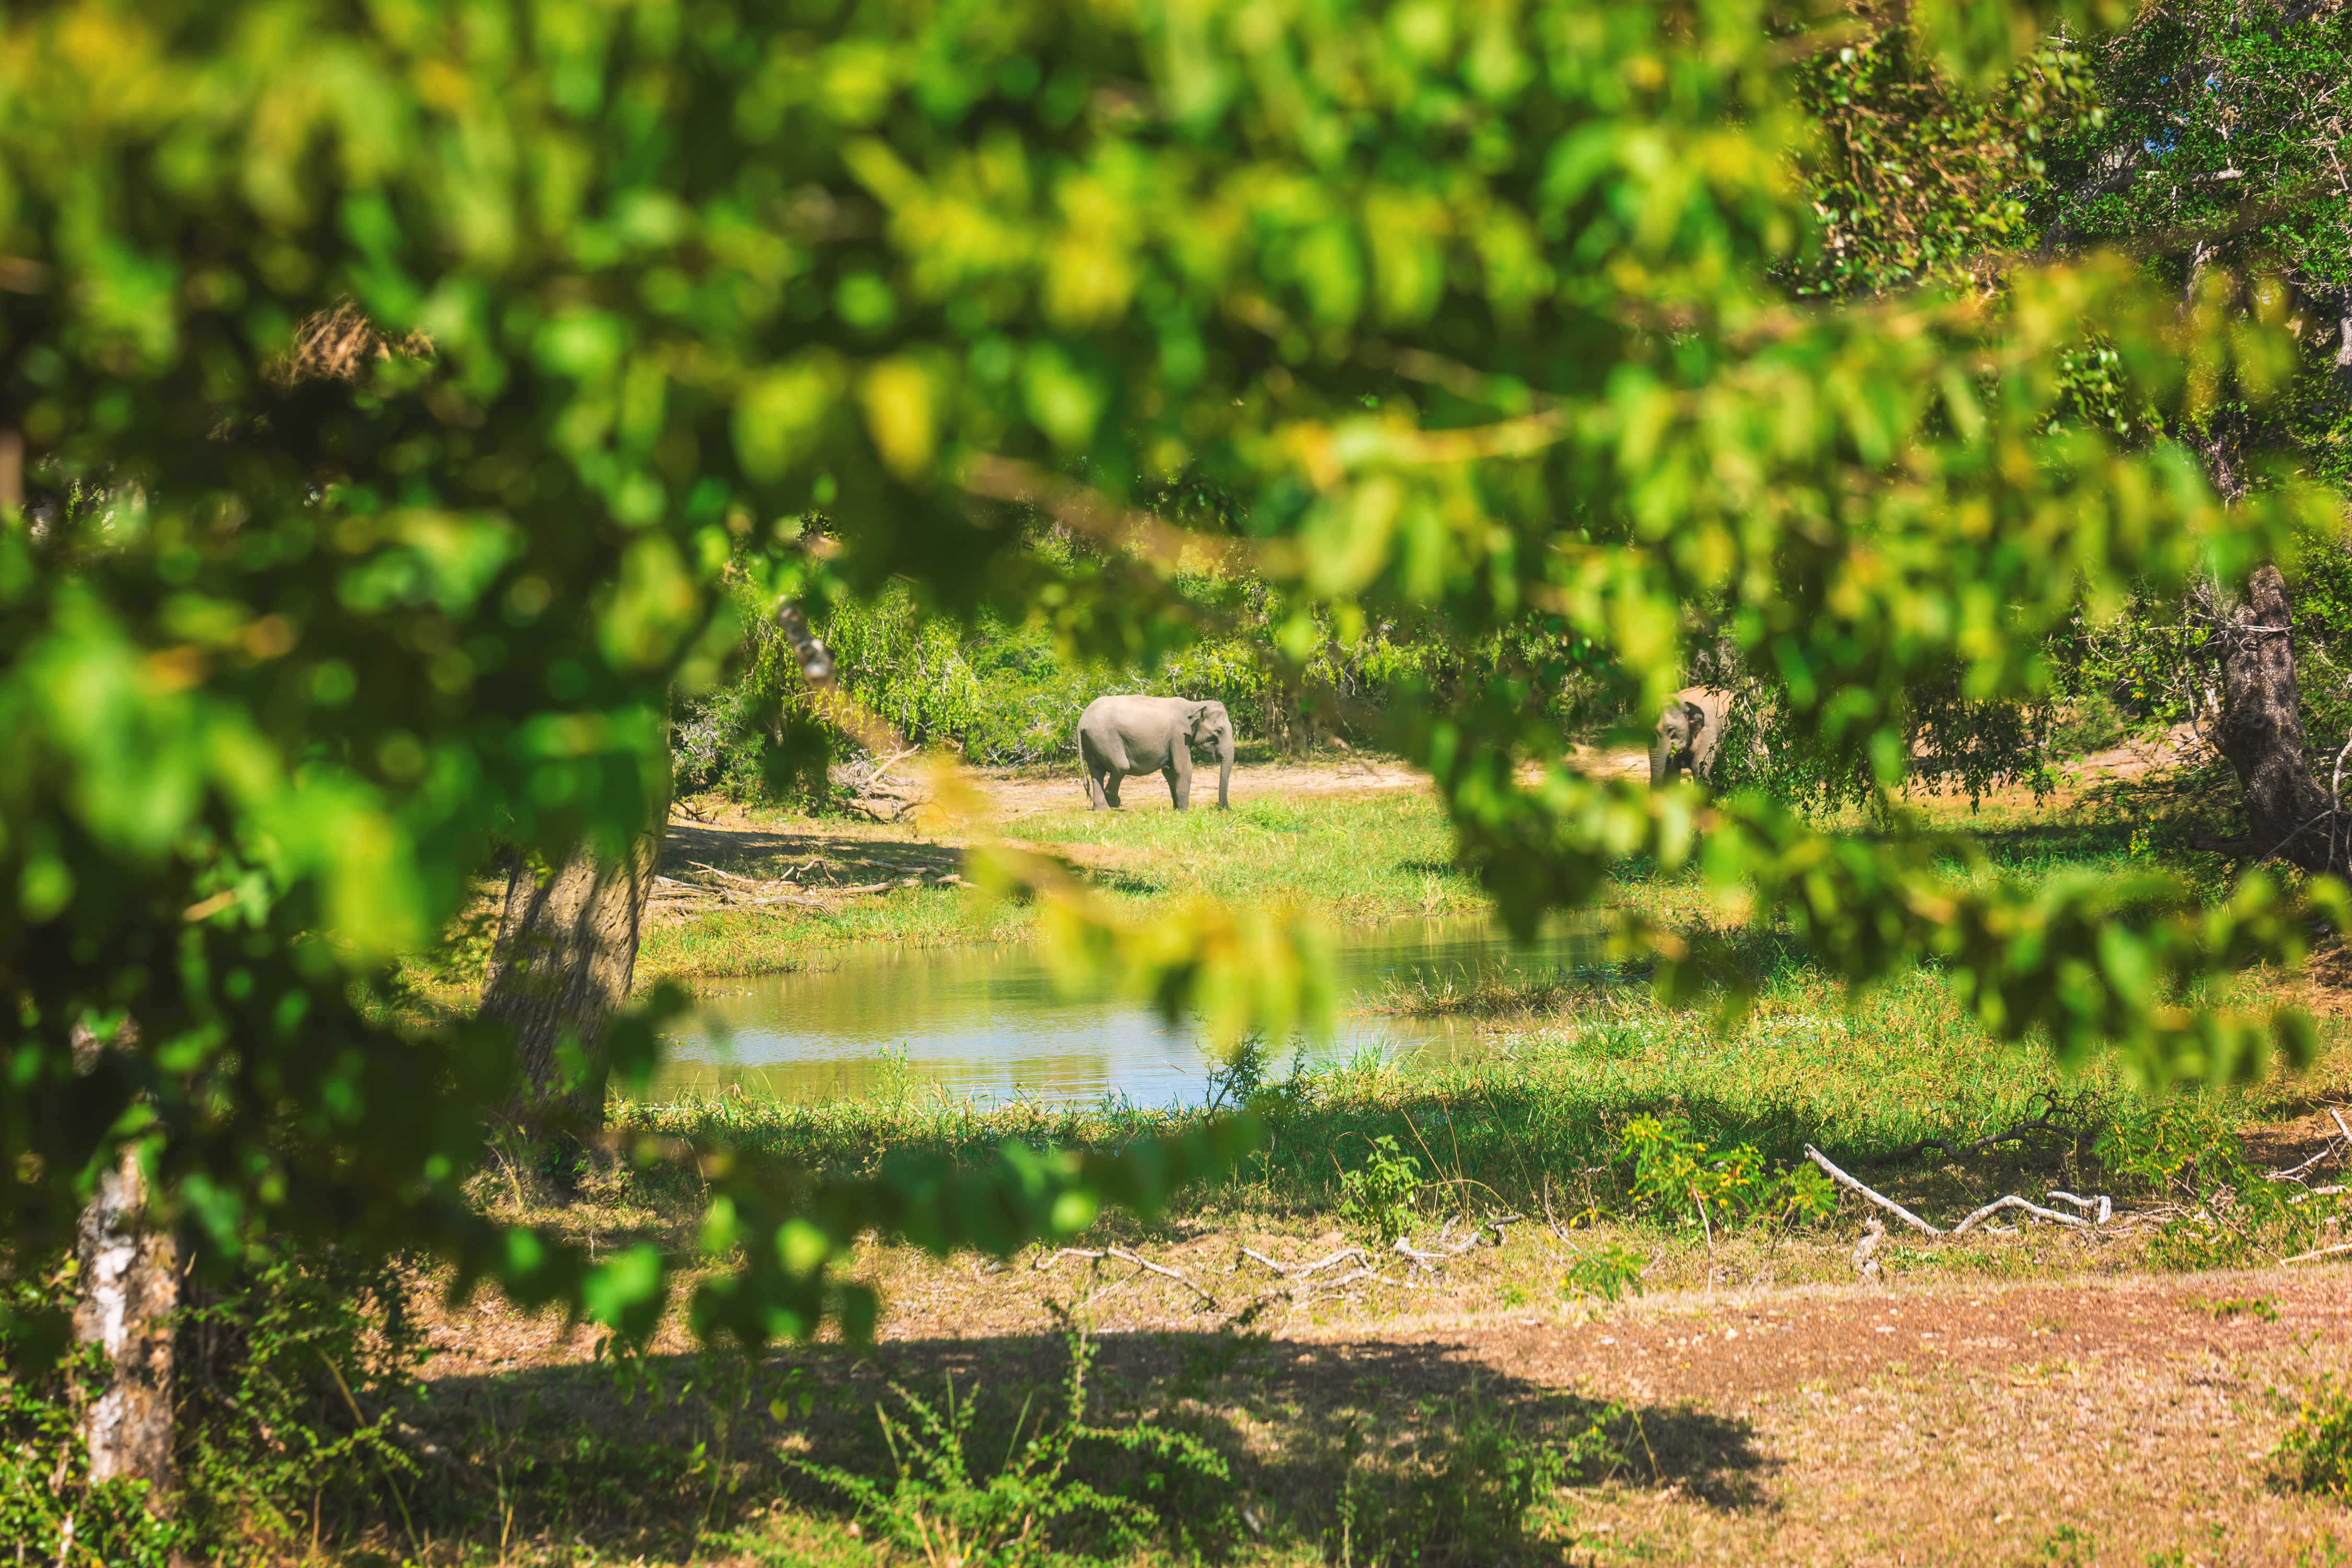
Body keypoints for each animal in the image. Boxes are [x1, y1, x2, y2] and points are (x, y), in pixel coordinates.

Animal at [1077, 700, 1242, 818]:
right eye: (1219, 731)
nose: (1225, 810)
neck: (1195, 705)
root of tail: (1082, 721)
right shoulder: (1179, 735)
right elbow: (1183, 768)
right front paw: (1184, 812)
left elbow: (1169, 771)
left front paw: (1177, 809)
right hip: (1105, 738)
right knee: (1120, 766)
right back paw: (1115, 803)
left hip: (1092, 740)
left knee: (1097, 771)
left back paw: (1102, 810)